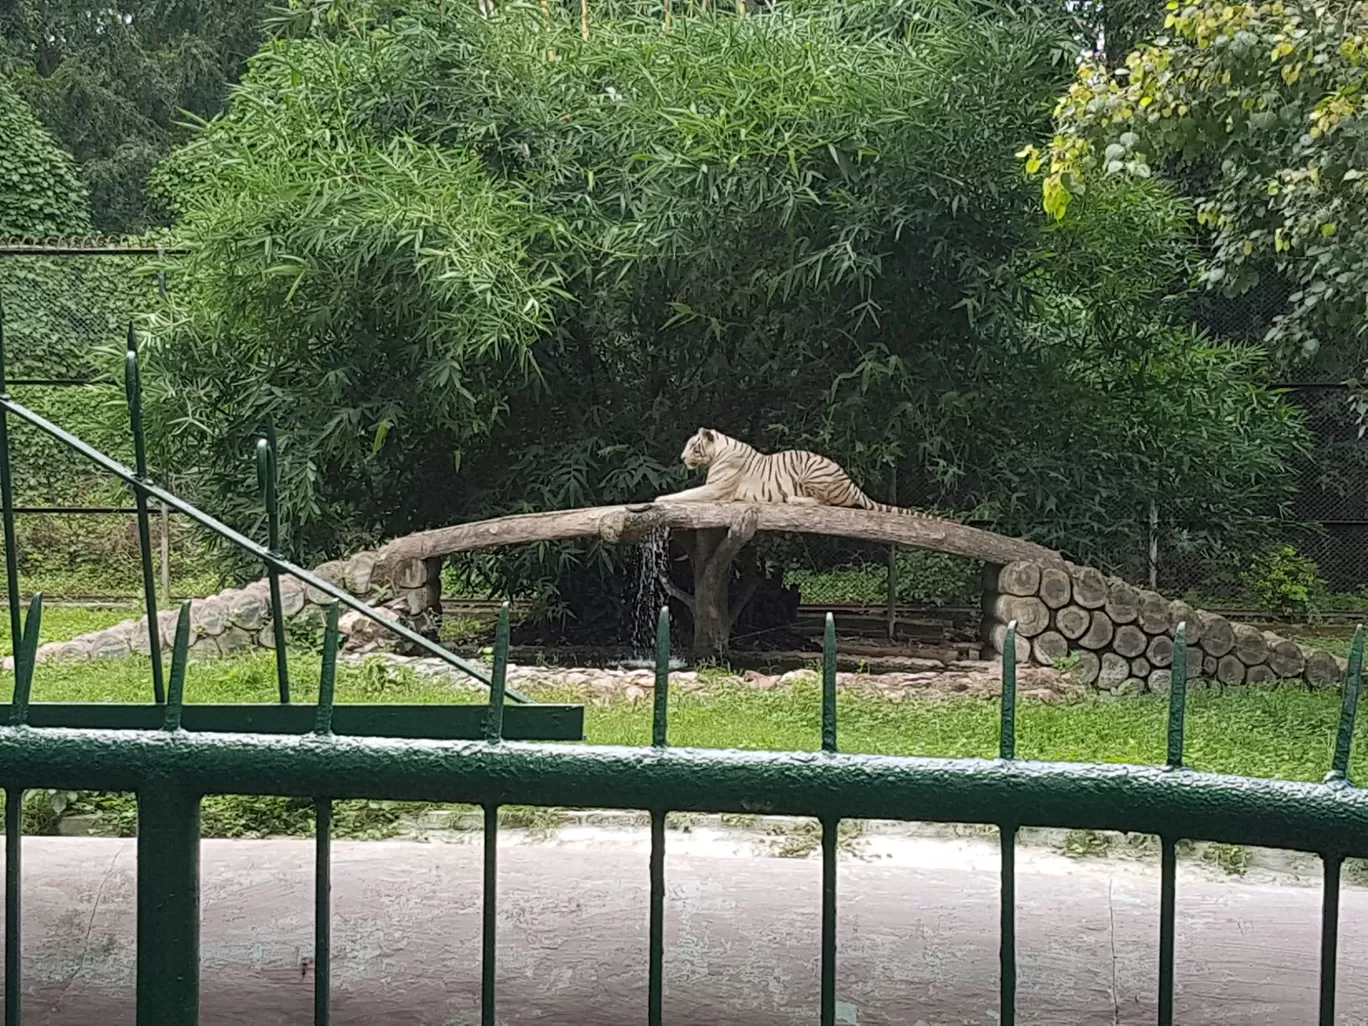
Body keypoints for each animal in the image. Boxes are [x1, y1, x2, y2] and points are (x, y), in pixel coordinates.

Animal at [653, 426, 935, 517]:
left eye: (693, 446)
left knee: (827, 503)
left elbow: (686, 493)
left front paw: (659, 499)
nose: (682, 458)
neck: (719, 451)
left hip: (811, 470)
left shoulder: (715, 489)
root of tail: (852, 483)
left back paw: (795, 499)